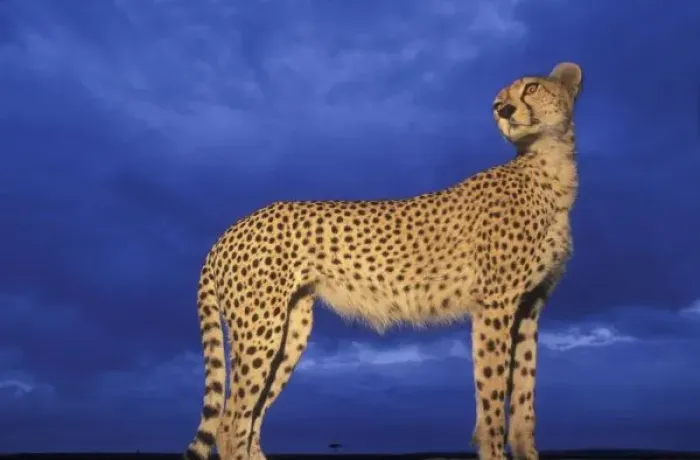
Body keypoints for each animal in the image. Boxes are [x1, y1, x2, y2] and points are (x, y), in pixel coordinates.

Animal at [183, 62, 583, 460]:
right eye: (498, 100)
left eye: (531, 88)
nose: (503, 110)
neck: (549, 169)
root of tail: (230, 229)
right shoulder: (495, 304)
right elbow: (493, 397)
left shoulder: (530, 306)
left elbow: (524, 399)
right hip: (260, 327)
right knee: (230, 423)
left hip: (290, 328)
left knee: (251, 418)